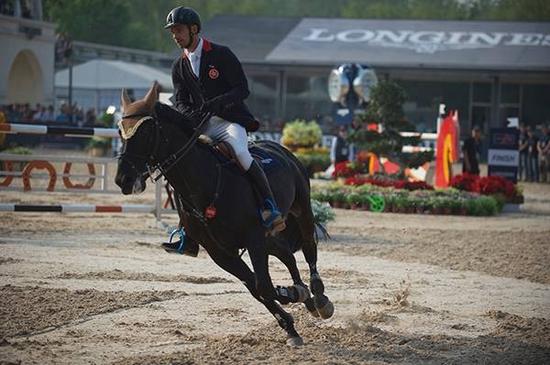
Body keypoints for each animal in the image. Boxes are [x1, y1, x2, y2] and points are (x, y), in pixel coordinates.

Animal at [114, 84, 334, 346]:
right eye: (120, 132)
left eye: (145, 131)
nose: (124, 180)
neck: (205, 181)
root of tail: (279, 148)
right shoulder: (221, 252)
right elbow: (257, 288)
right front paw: (290, 324)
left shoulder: (253, 238)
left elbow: (264, 287)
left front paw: (293, 294)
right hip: (267, 236)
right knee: (286, 254)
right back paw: (307, 297)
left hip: (301, 211)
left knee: (309, 248)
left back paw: (318, 296)